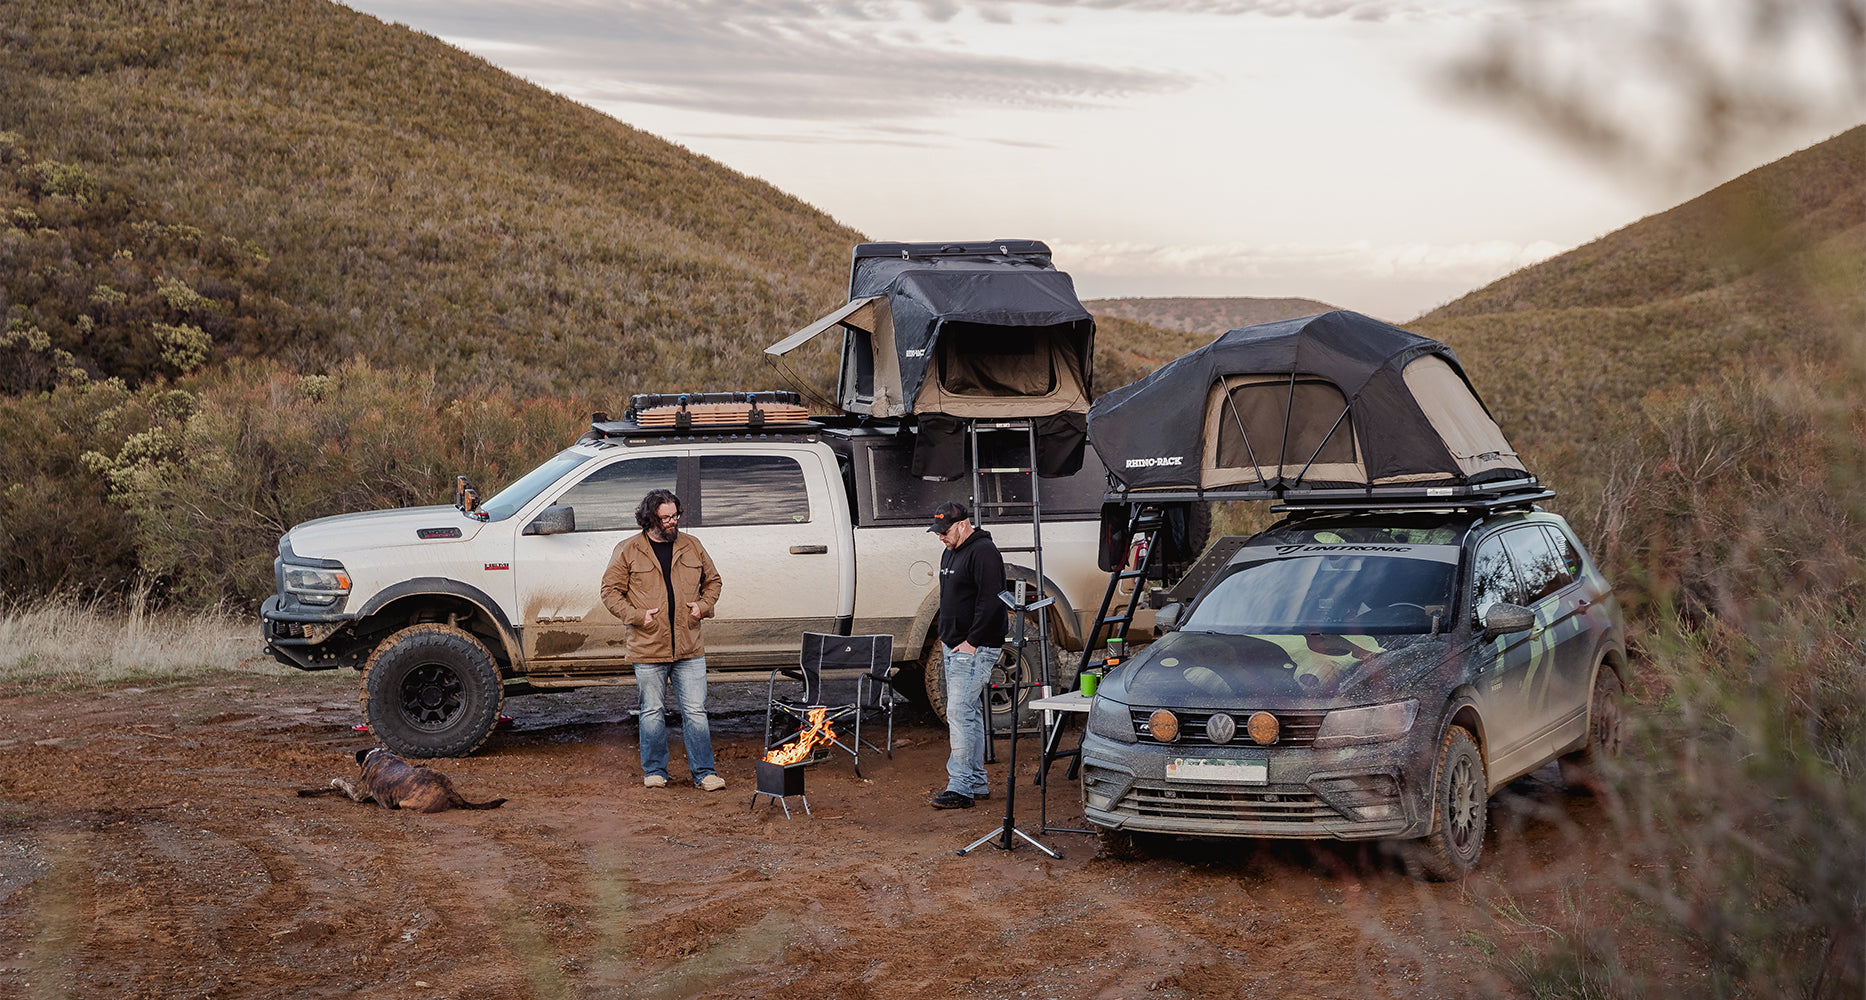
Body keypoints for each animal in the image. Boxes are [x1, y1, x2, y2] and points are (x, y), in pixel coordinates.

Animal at [296, 750, 507, 813]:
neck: (379, 755)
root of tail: (448, 789)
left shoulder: (359, 792)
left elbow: (344, 782)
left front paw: (335, 781)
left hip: (407, 803)